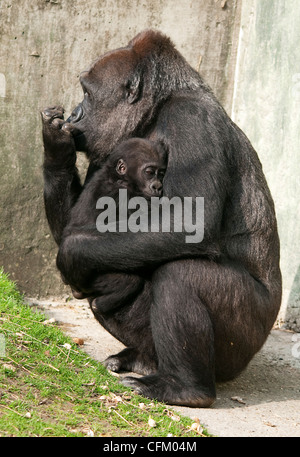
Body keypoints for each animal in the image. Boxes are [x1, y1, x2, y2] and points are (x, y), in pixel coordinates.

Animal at [64, 139, 168, 316]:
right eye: (149, 172)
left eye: (161, 173)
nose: (157, 186)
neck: (117, 177)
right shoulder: (123, 194)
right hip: (92, 280)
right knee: (130, 282)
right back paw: (100, 305)